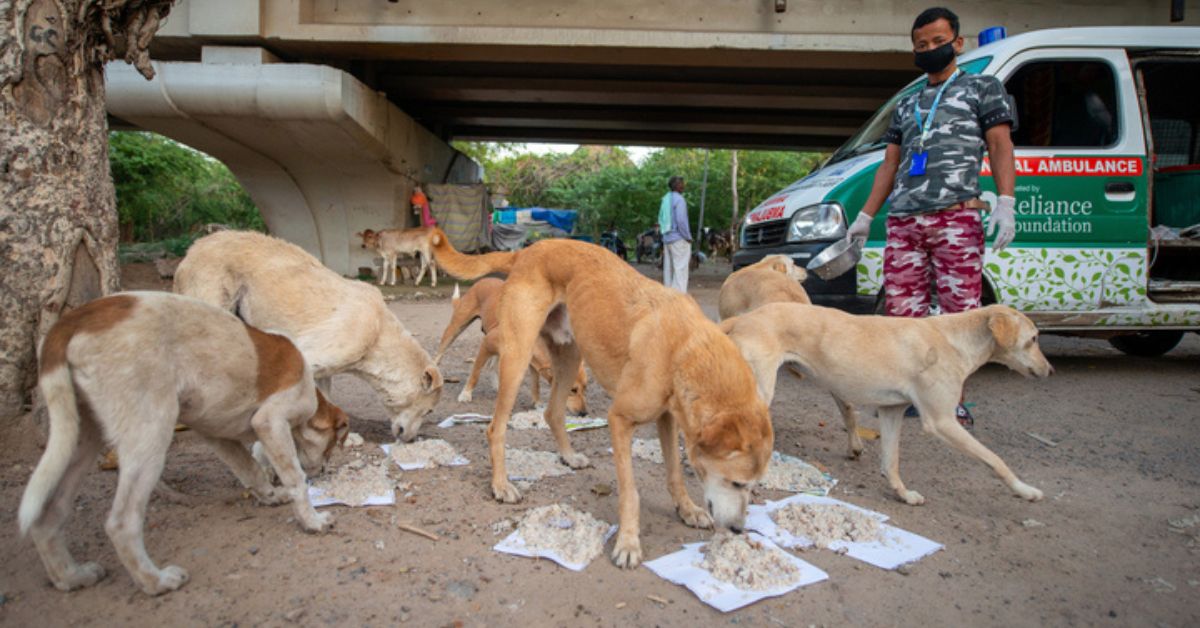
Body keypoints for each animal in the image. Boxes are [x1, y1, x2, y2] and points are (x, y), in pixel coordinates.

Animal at [18, 292, 348, 597]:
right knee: (121, 523)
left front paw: (270, 496)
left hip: (80, 436)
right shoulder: (270, 421)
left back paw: (71, 576)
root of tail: (73, 320)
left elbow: (251, 469)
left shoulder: (214, 433)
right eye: (331, 447)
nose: (323, 471)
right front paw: (312, 520)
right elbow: (294, 478)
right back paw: (155, 581)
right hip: (150, 433)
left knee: (48, 515)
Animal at [175, 230, 444, 441]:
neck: (377, 334)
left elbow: (326, 401)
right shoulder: (309, 357)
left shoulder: (323, 371)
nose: (411, 440)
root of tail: (191, 251)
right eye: (428, 411)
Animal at [439, 277, 592, 415]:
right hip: (455, 328)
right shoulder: (485, 345)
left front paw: (537, 403)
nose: (584, 413)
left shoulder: (533, 363)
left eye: (585, 388)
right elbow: (475, 373)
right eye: (572, 390)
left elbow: (535, 385)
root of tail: (483, 280)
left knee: (492, 365)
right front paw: (466, 394)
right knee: (439, 354)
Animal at [720, 303, 1051, 506]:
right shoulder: (941, 421)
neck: (954, 340)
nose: (1050, 371)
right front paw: (1025, 490)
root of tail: (744, 318)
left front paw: (903, 494)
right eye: (1033, 339)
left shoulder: (892, 412)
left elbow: (890, 463)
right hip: (760, 394)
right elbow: (996, 460)